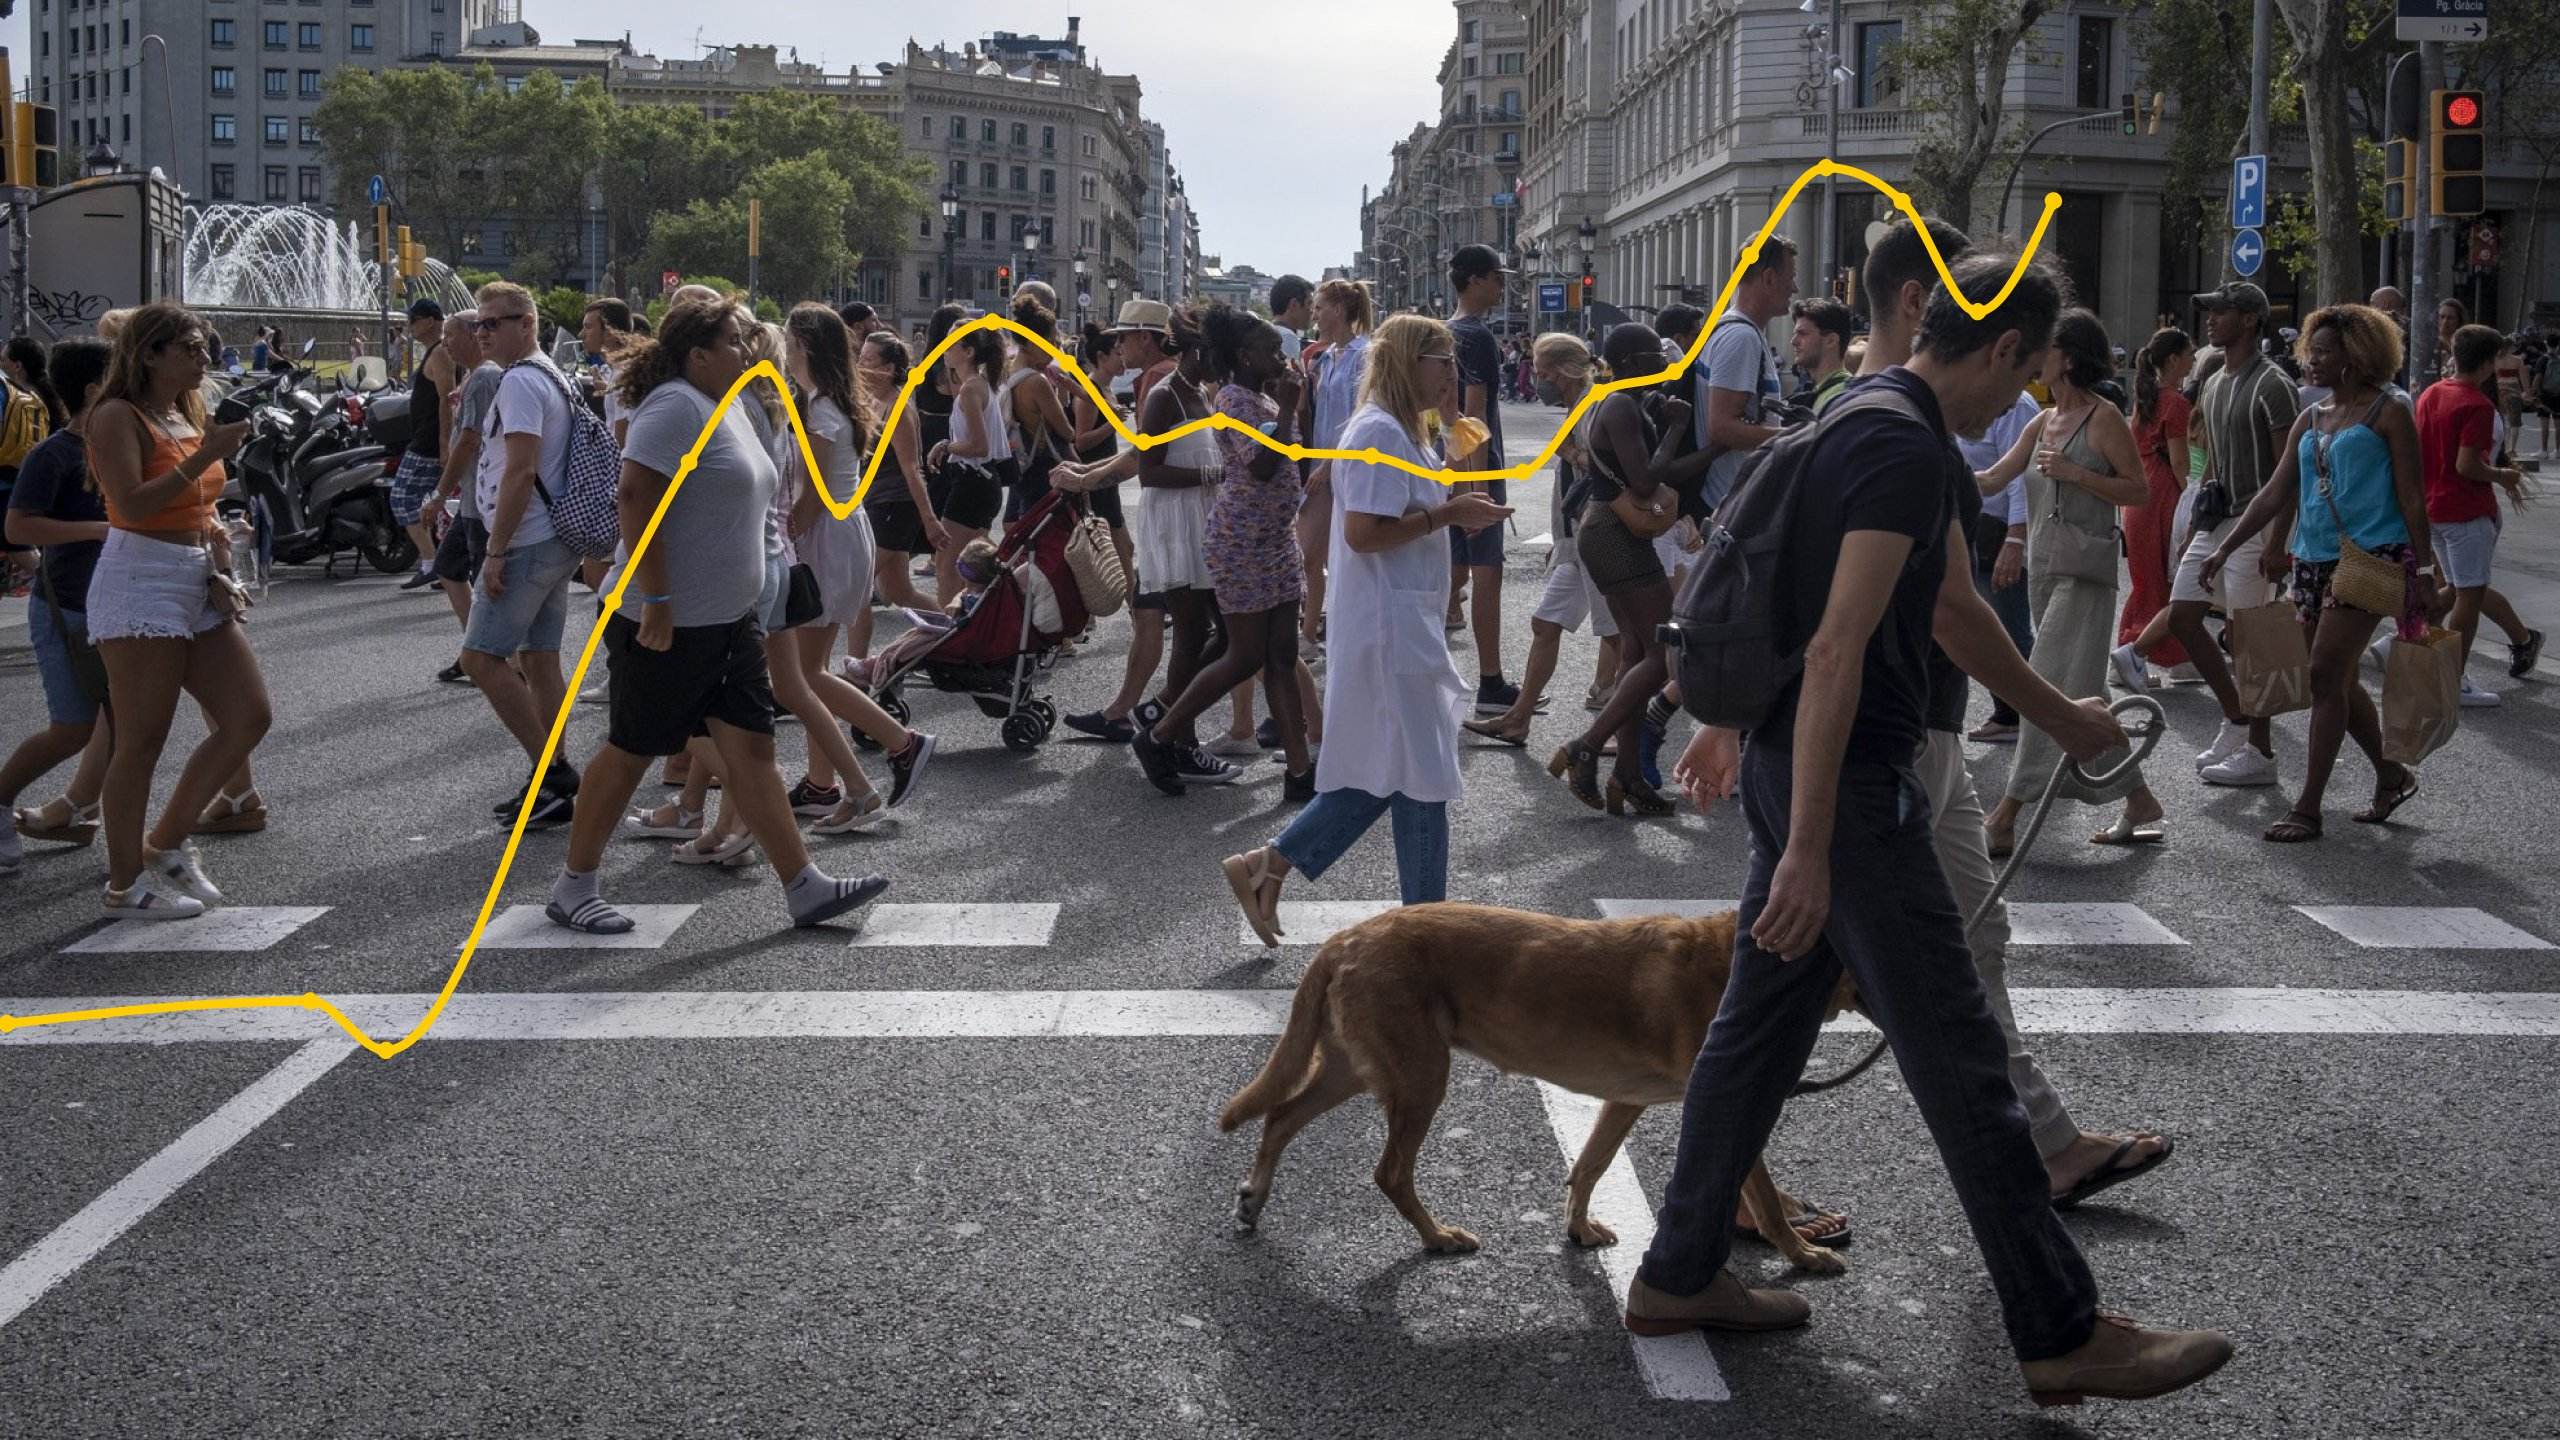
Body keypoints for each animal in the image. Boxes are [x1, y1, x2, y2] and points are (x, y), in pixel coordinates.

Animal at [1218, 896, 1863, 1265]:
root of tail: (1341, 939)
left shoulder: (1623, 1101)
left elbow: (1590, 1165)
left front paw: (1577, 1228)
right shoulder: (1726, 1097)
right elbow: (1765, 1196)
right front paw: (1803, 1252)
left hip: (1355, 1069)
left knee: (1281, 1115)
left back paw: (1254, 1198)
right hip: (1421, 1078)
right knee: (1389, 1172)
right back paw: (1437, 1237)